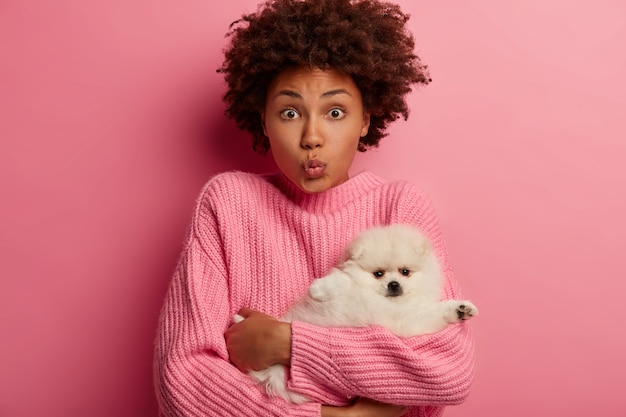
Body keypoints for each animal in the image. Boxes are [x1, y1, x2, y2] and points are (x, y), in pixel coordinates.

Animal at [234, 224, 478, 404]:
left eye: (405, 272)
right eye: (378, 274)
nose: (394, 284)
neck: (387, 302)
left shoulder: (410, 321)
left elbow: (435, 312)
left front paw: (460, 309)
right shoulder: (352, 287)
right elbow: (342, 281)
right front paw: (317, 289)